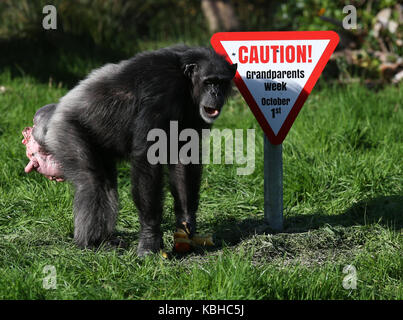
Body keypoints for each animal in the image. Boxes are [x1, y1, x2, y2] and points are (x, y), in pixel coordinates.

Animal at [34, 45, 240, 255]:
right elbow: (147, 159)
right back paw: (90, 243)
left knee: (107, 186)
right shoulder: (162, 90)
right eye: (209, 82)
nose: (215, 93)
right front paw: (150, 240)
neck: (186, 83)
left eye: (221, 82)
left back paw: (106, 240)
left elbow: (184, 160)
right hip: (66, 132)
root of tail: (51, 115)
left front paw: (186, 226)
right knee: (92, 183)